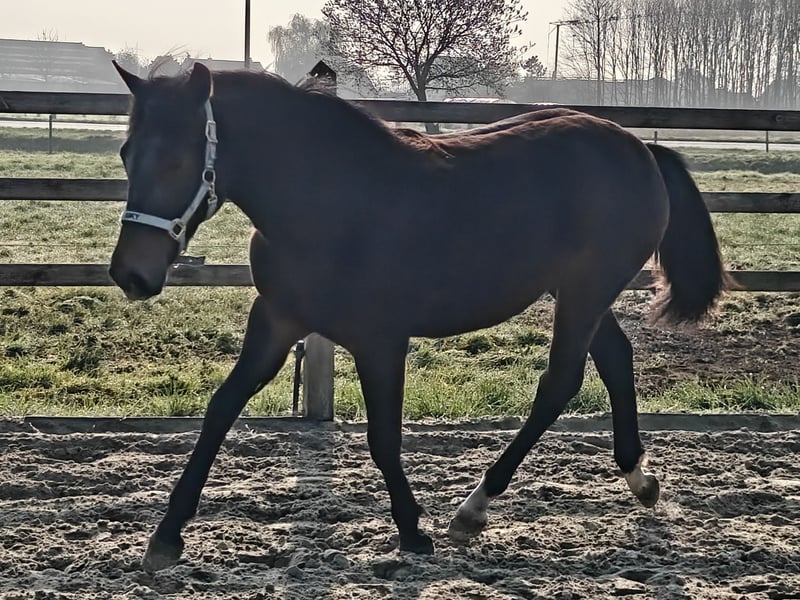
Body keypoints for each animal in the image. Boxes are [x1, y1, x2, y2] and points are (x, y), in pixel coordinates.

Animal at [109, 61, 731, 572]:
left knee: (560, 382)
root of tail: (640, 150)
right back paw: (640, 480)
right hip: (579, 294)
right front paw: (166, 537)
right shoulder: (277, 320)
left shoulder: (381, 340)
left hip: (585, 292)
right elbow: (220, 410)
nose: (130, 274)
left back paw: (473, 510)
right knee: (615, 360)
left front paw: (412, 531)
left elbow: (384, 437)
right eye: (126, 154)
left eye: (178, 158)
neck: (329, 203)